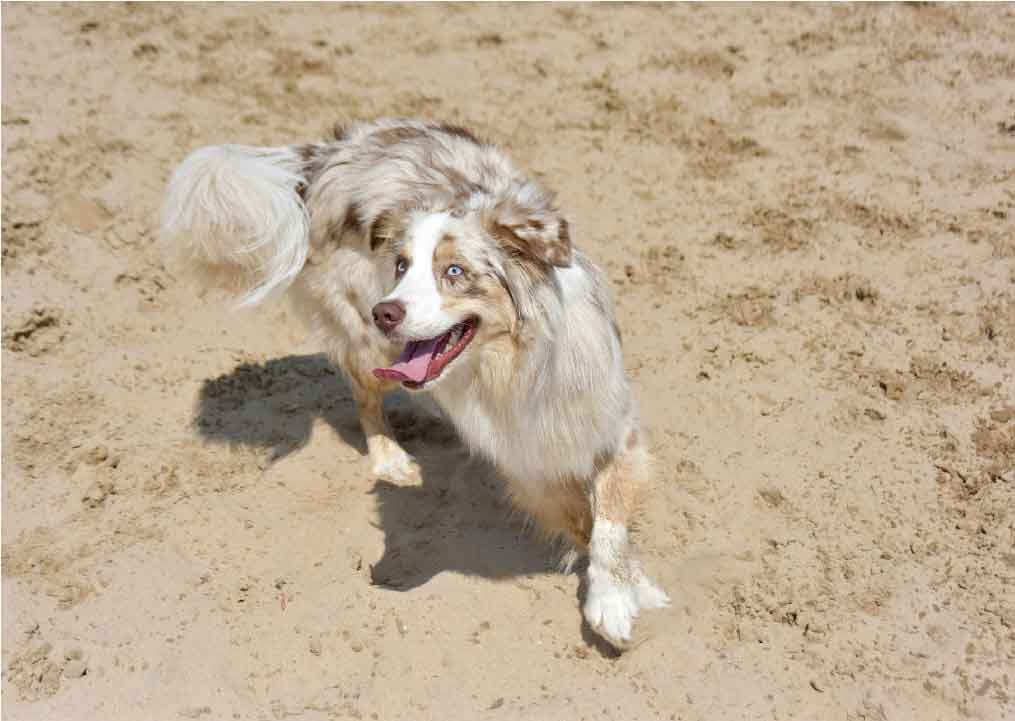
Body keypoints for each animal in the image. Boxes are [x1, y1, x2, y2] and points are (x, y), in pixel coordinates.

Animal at [162, 118, 669, 649]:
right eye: (402, 266)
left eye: (454, 271)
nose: (384, 312)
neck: (513, 368)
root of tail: (329, 152)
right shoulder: (525, 464)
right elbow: (581, 523)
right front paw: (617, 593)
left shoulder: (610, 425)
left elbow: (608, 522)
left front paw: (622, 594)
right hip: (364, 340)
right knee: (366, 398)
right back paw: (391, 458)